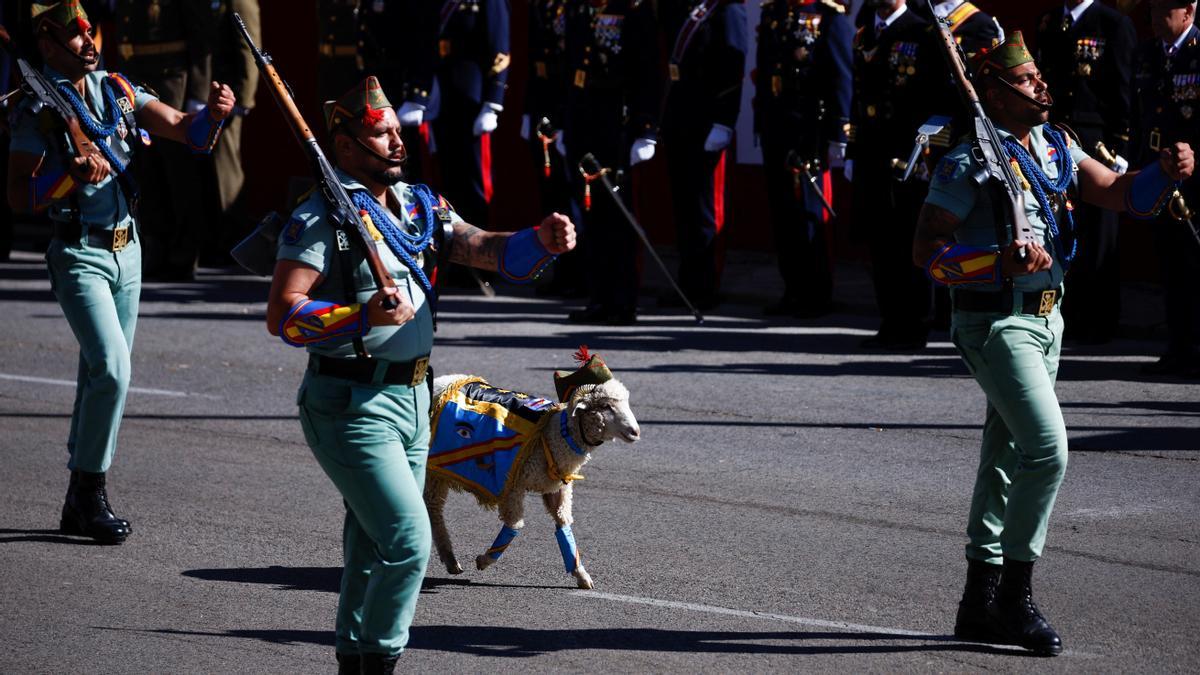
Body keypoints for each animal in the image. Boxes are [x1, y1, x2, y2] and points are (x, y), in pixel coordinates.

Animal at [427, 369, 643, 586]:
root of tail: (439, 382)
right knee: (434, 511)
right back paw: (449, 558)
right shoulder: (512, 485)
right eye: (606, 406)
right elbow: (514, 525)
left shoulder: (557, 490)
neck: (555, 436)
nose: (636, 432)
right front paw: (485, 560)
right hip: (432, 472)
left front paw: (580, 574)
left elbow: (563, 525)